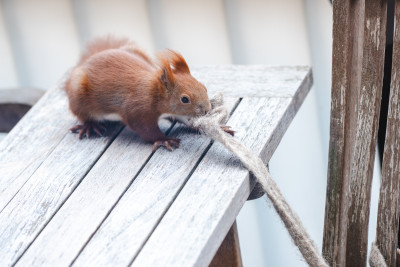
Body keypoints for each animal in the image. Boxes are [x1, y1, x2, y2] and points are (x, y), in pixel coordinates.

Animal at [65, 36, 234, 152]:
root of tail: (85, 63)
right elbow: (146, 129)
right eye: (185, 99)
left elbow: (186, 120)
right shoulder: (137, 111)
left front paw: (218, 128)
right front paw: (164, 139)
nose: (207, 110)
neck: (155, 93)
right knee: (83, 114)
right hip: (78, 95)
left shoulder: (176, 112)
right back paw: (90, 125)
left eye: (204, 87)